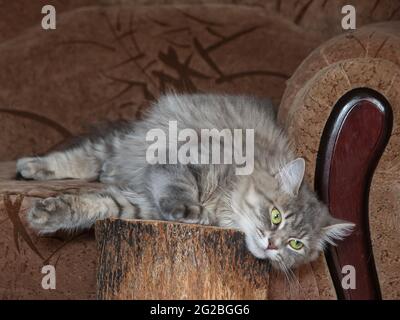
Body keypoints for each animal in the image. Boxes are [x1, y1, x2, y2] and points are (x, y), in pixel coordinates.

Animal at [15, 92, 354, 270]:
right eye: (275, 216)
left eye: (296, 244)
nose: (272, 244)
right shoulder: (180, 156)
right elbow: (178, 187)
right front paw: (187, 210)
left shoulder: (139, 206)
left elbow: (96, 204)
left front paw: (47, 214)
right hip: (132, 140)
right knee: (84, 156)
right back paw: (32, 165)